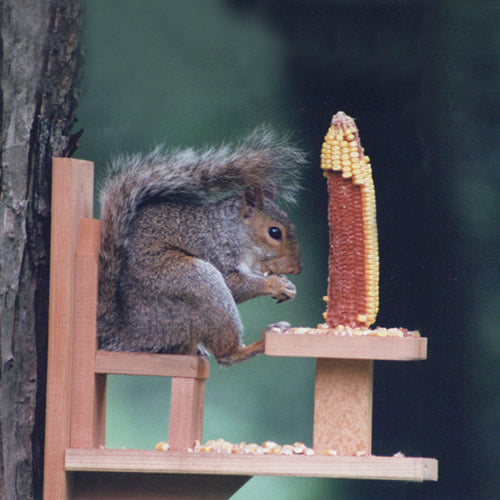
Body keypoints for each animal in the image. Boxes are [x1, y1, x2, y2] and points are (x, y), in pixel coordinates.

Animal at [95, 127, 302, 366]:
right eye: (275, 232)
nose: (297, 269)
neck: (230, 230)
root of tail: (131, 333)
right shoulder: (213, 250)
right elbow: (235, 286)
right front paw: (275, 284)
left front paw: (287, 284)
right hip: (198, 283)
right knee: (227, 356)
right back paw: (260, 340)